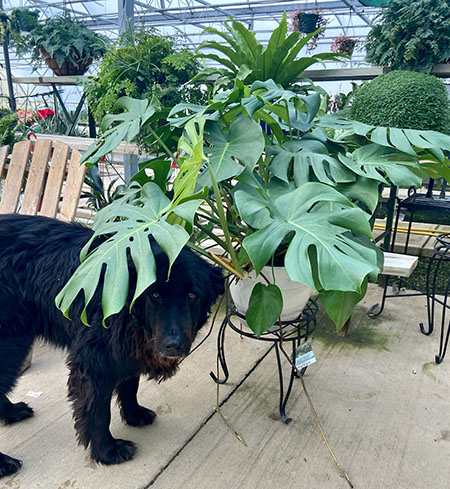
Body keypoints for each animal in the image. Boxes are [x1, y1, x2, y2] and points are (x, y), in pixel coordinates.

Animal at [0, 214, 224, 476]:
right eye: (154, 295)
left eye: (191, 296)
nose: (173, 345)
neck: (127, 304)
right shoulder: (93, 362)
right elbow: (98, 412)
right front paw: (106, 451)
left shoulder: (128, 350)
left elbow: (130, 385)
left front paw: (134, 414)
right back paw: (3, 461)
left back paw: (11, 413)